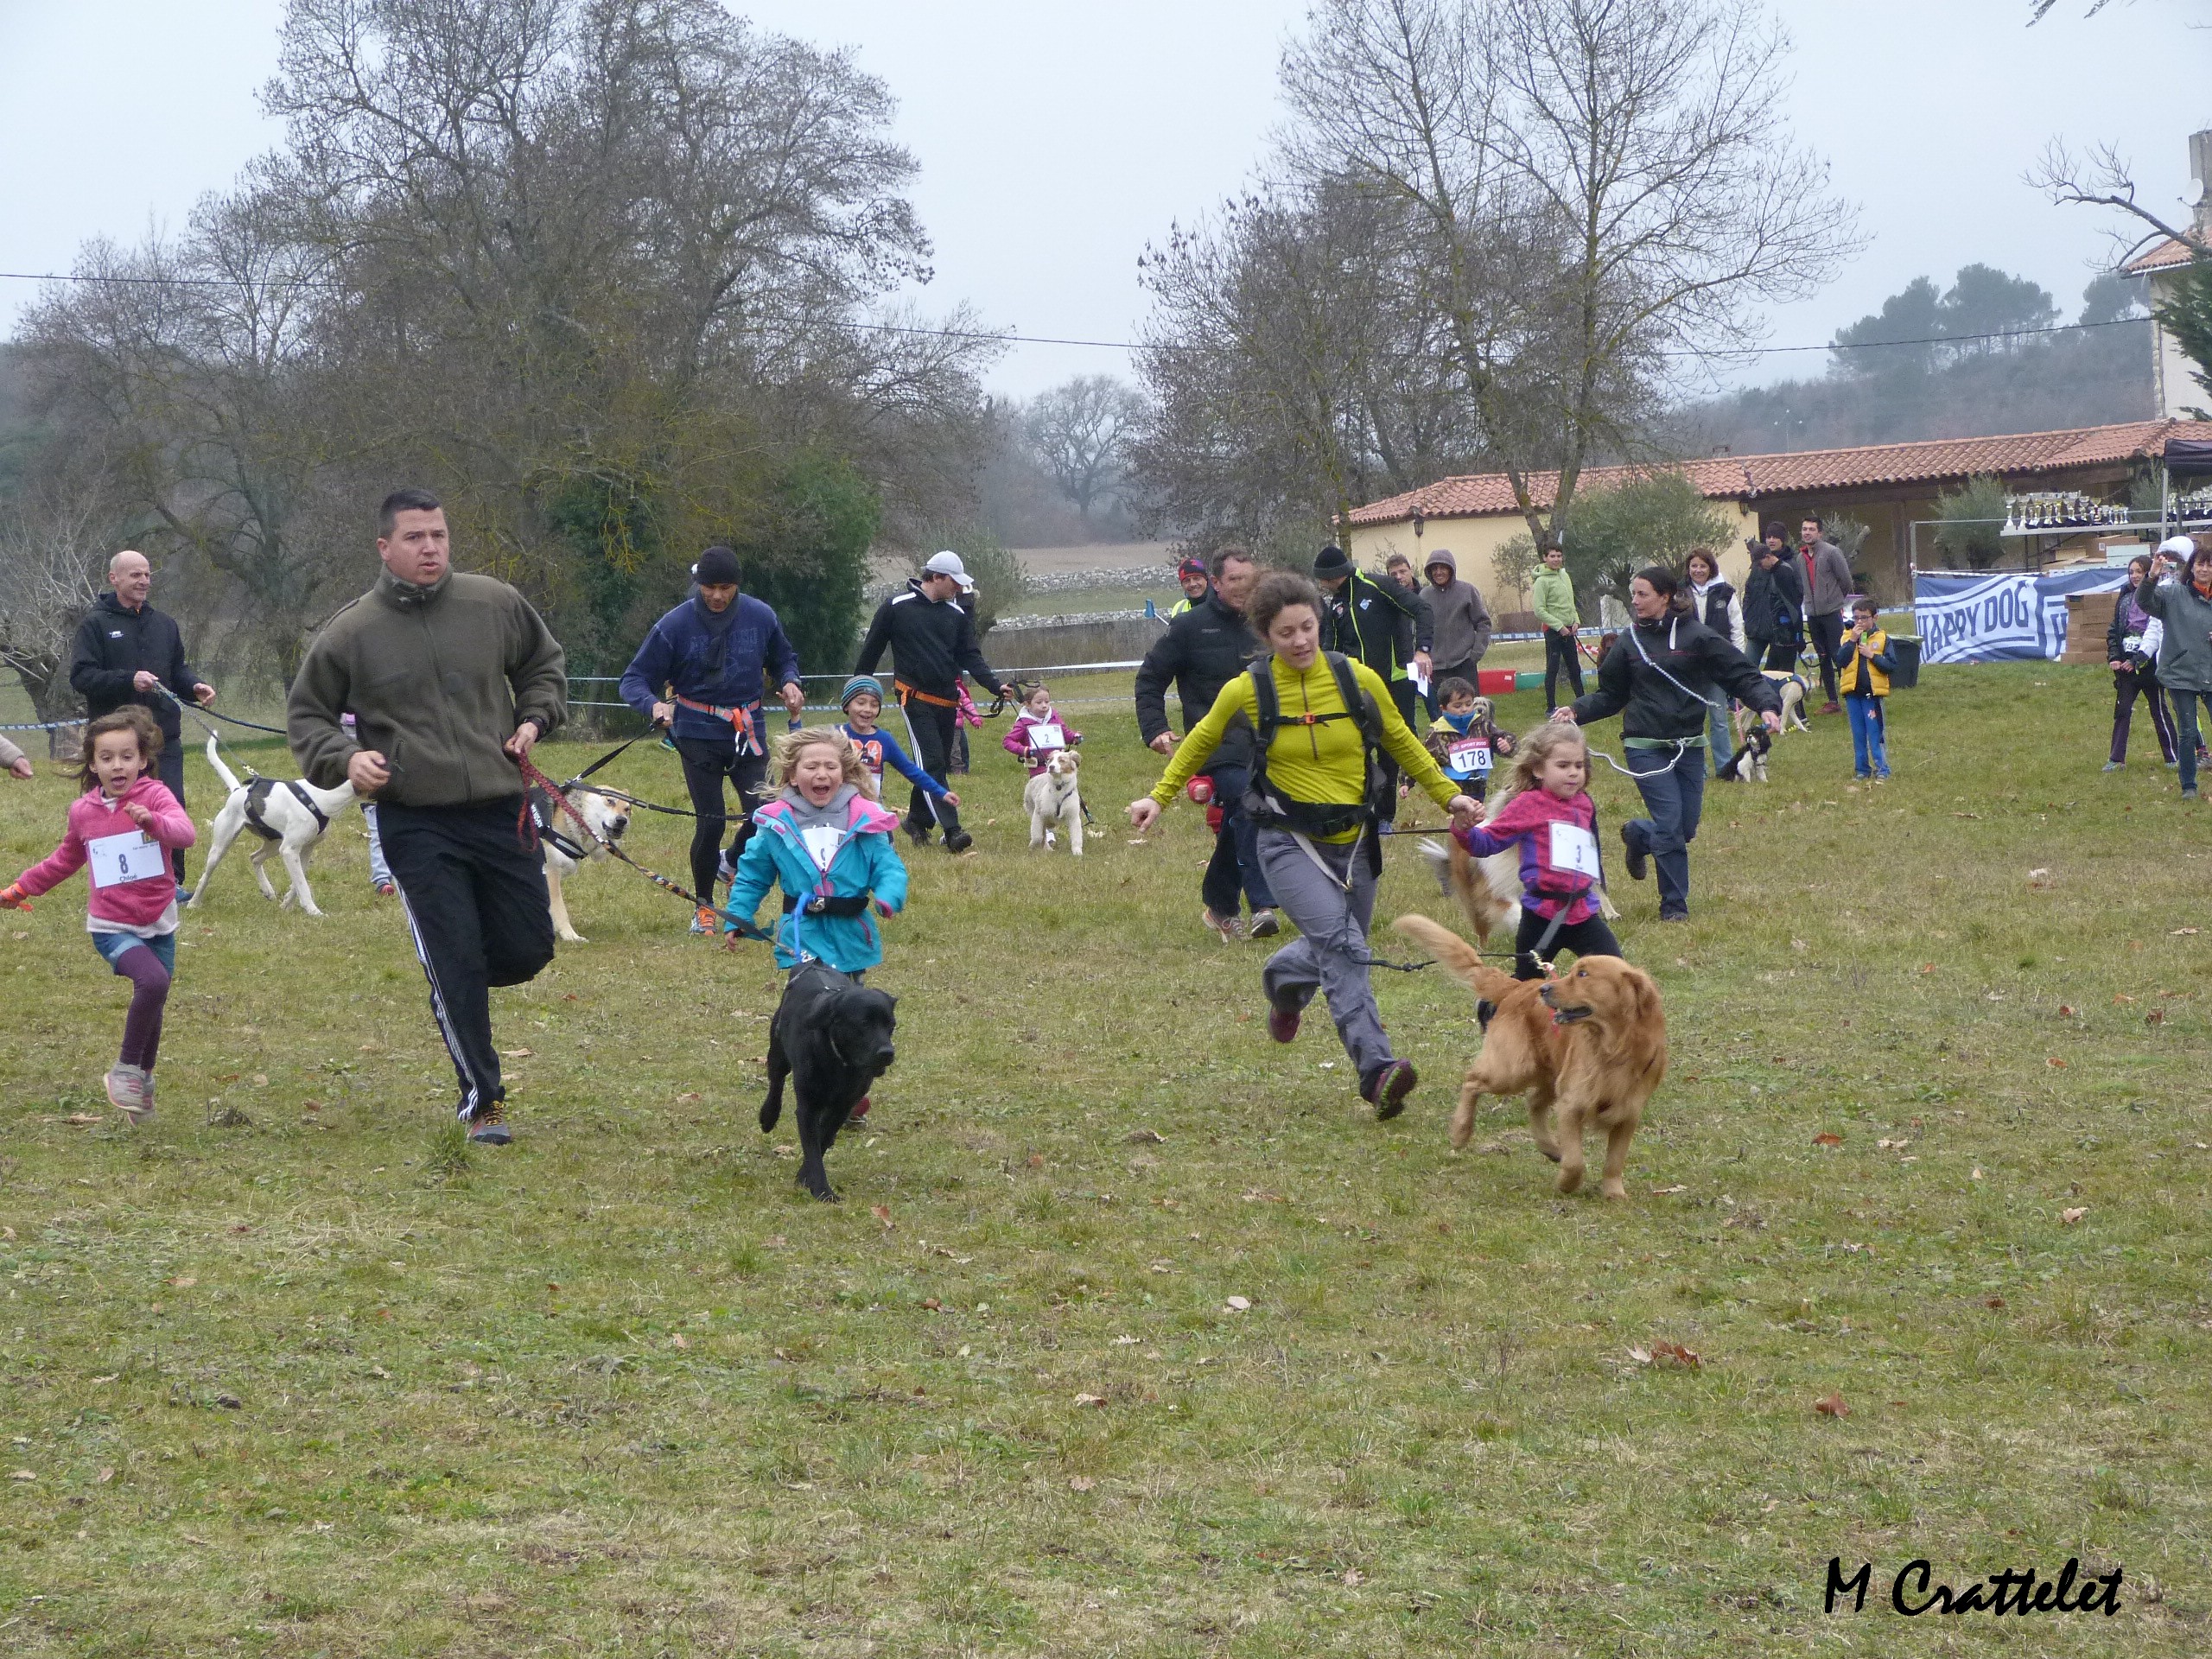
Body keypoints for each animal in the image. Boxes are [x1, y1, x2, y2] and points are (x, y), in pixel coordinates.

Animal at [192, 739, 356, 925]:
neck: (321, 795)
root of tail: (237, 792)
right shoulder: (289, 850)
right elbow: (302, 885)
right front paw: (314, 912)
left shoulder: (305, 848)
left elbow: (298, 881)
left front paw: (287, 904)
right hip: (221, 846)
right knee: (205, 876)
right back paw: (194, 902)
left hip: (275, 844)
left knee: (254, 858)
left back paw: (267, 890)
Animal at [528, 783, 637, 942]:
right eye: (610, 801)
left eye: (627, 809)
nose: (622, 820)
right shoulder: (550, 872)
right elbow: (559, 907)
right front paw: (570, 935)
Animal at [760, 960, 898, 1211]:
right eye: (863, 1023)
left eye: (890, 1025)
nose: (887, 1053)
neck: (840, 1061)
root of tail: (814, 963)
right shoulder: (808, 1107)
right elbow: (813, 1147)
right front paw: (823, 1191)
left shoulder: (844, 1105)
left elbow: (822, 1138)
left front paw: (804, 1177)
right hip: (778, 1050)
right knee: (776, 1082)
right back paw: (768, 1116)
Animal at [1397, 915, 1663, 1203]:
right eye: (1575, 971)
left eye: (1583, 974)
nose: (1545, 988)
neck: (1613, 1049)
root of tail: (1518, 987)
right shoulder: (1572, 1104)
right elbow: (1576, 1162)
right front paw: (1566, 1184)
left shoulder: (1628, 1113)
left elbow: (1614, 1161)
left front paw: (1614, 1193)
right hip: (1513, 1070)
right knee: (1472, 1081)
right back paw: (1461, 1131)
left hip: (1548, 1073)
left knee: (1533, 1101)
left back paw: (1550, 1148)